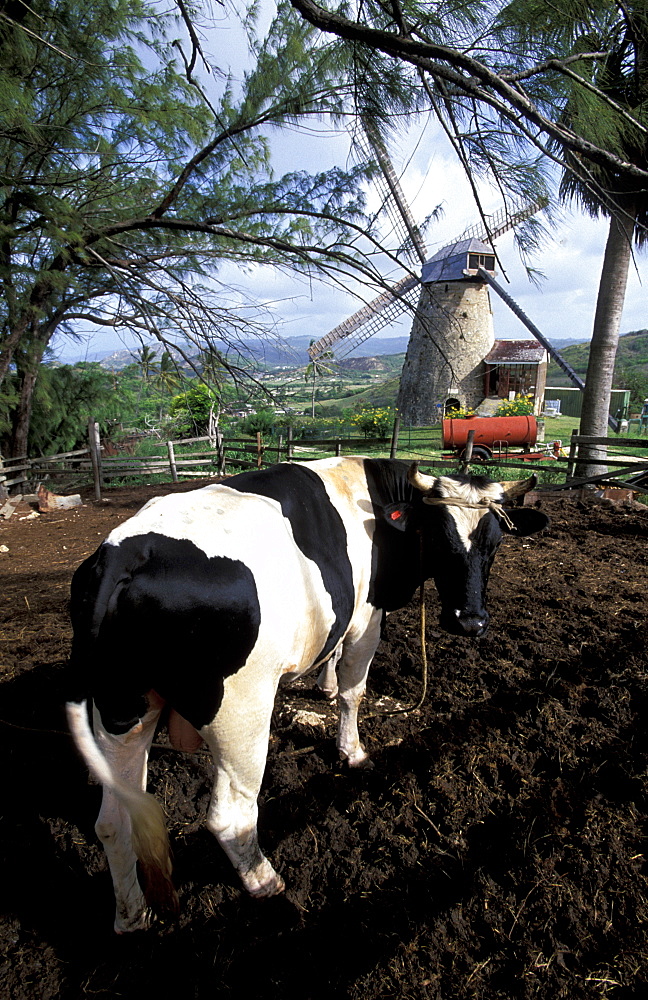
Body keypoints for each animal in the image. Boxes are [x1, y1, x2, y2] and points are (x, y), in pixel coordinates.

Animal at [67, 458, 548, 932]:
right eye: (437, 536)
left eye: (494, 544)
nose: (470, 621)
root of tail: (122, 553)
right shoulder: (367, 618)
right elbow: (354, 692)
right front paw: (352, 750)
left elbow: (332, 658)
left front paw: (325, 686)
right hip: (241, 712)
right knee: (229, 816)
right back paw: (265, 881)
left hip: (122, 712)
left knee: (113, 822)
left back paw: (132, 915)